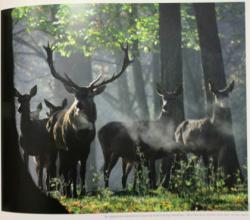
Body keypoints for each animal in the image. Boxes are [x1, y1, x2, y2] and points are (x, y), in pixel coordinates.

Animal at [43, 43, 133, 198]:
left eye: (90, 95)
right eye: (76, 95)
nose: (79, 105)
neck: (81, 134)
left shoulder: (86, 148)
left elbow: (82, 171)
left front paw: (83, 192)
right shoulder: (70, 146)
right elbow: (73, 171)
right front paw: (73, 193)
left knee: (64, 169)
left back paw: (67, 191)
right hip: (54, 146)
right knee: (58, 169)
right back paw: (62, 192)